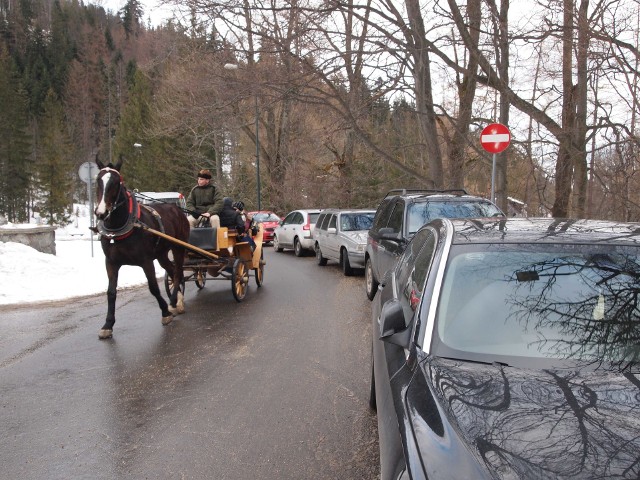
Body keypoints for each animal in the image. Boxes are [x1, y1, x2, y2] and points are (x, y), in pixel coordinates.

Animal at [93, 159, 190, 340]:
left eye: (116, 182)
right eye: (98, 180)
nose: (101, 212)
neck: (121, 228)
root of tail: (177, 209)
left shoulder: (145, 261)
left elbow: (153, 287)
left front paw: (165, 313)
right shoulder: (111, 262)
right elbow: (111, 292)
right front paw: (108, 324)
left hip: (179, 247)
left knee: (178, 272)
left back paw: (173, 301)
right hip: (161, 254)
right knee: (173, 271)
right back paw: (178, 300)